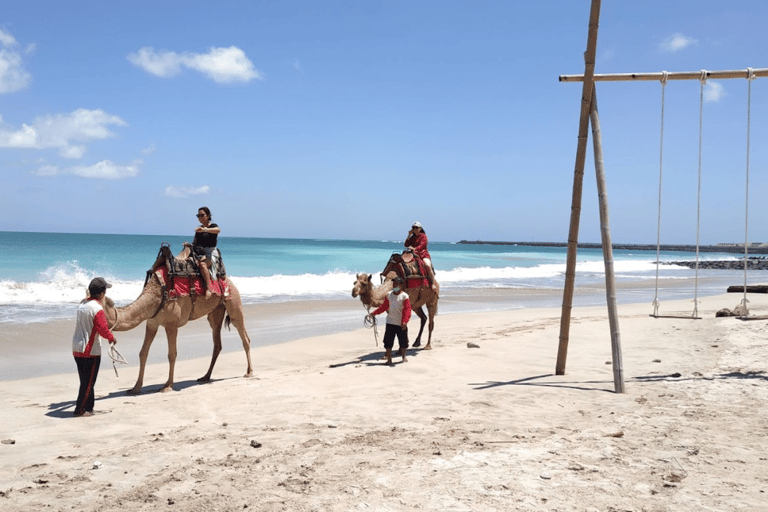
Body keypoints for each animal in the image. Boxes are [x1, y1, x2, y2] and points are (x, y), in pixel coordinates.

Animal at [100, 248, 252, 396]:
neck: (156, 292)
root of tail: (228, 279)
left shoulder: (172, 324)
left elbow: (172, 354)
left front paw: (168, 386)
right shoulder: (152, 323)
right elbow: (143, 353)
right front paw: (135, 388)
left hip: (233, 301)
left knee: (243, 335)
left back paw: (249, 372)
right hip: (215, 311)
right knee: (217, 341)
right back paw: (205, 377)